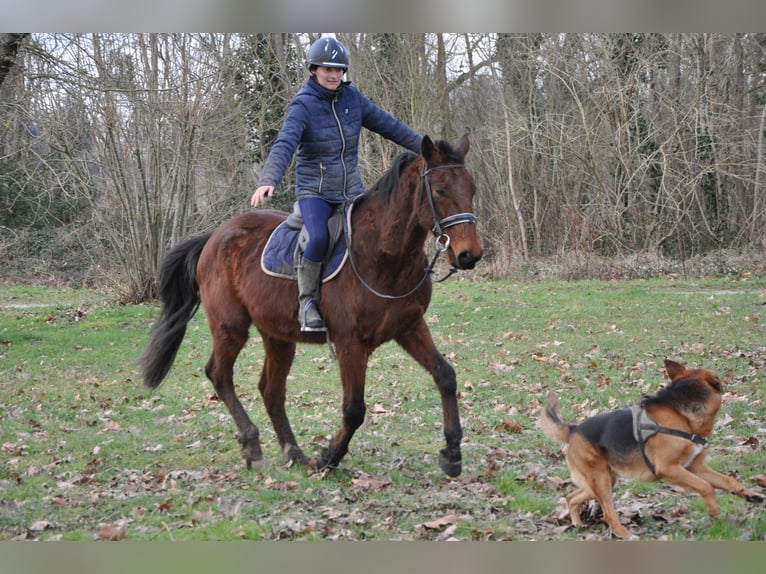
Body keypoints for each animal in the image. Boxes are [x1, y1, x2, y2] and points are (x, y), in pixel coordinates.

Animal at [138, 135, 484, 476]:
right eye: (439, 190)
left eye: (471, 188)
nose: (470, 255)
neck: (381, 256)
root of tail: (214, 236)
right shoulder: (349, 342)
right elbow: (354, 409)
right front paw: (330, 456)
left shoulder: (410, 327)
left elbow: (446, 376)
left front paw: (452, 452)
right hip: (230, 326)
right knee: (219, 374)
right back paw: (252, 444)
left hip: (277, 335)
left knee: (271, 390)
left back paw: (293, 452)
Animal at [544, 360, 764, 540]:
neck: (679, 413)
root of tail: (573, 430)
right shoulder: (669, 468)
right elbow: (706, 486)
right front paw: (713, 510)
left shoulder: (695, 467)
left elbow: (729, 481)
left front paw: (751, 495)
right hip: (601, 481)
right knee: (608, 514)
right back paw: (625, 534)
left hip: (602, 480)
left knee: (571, 497)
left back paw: (577, 524)